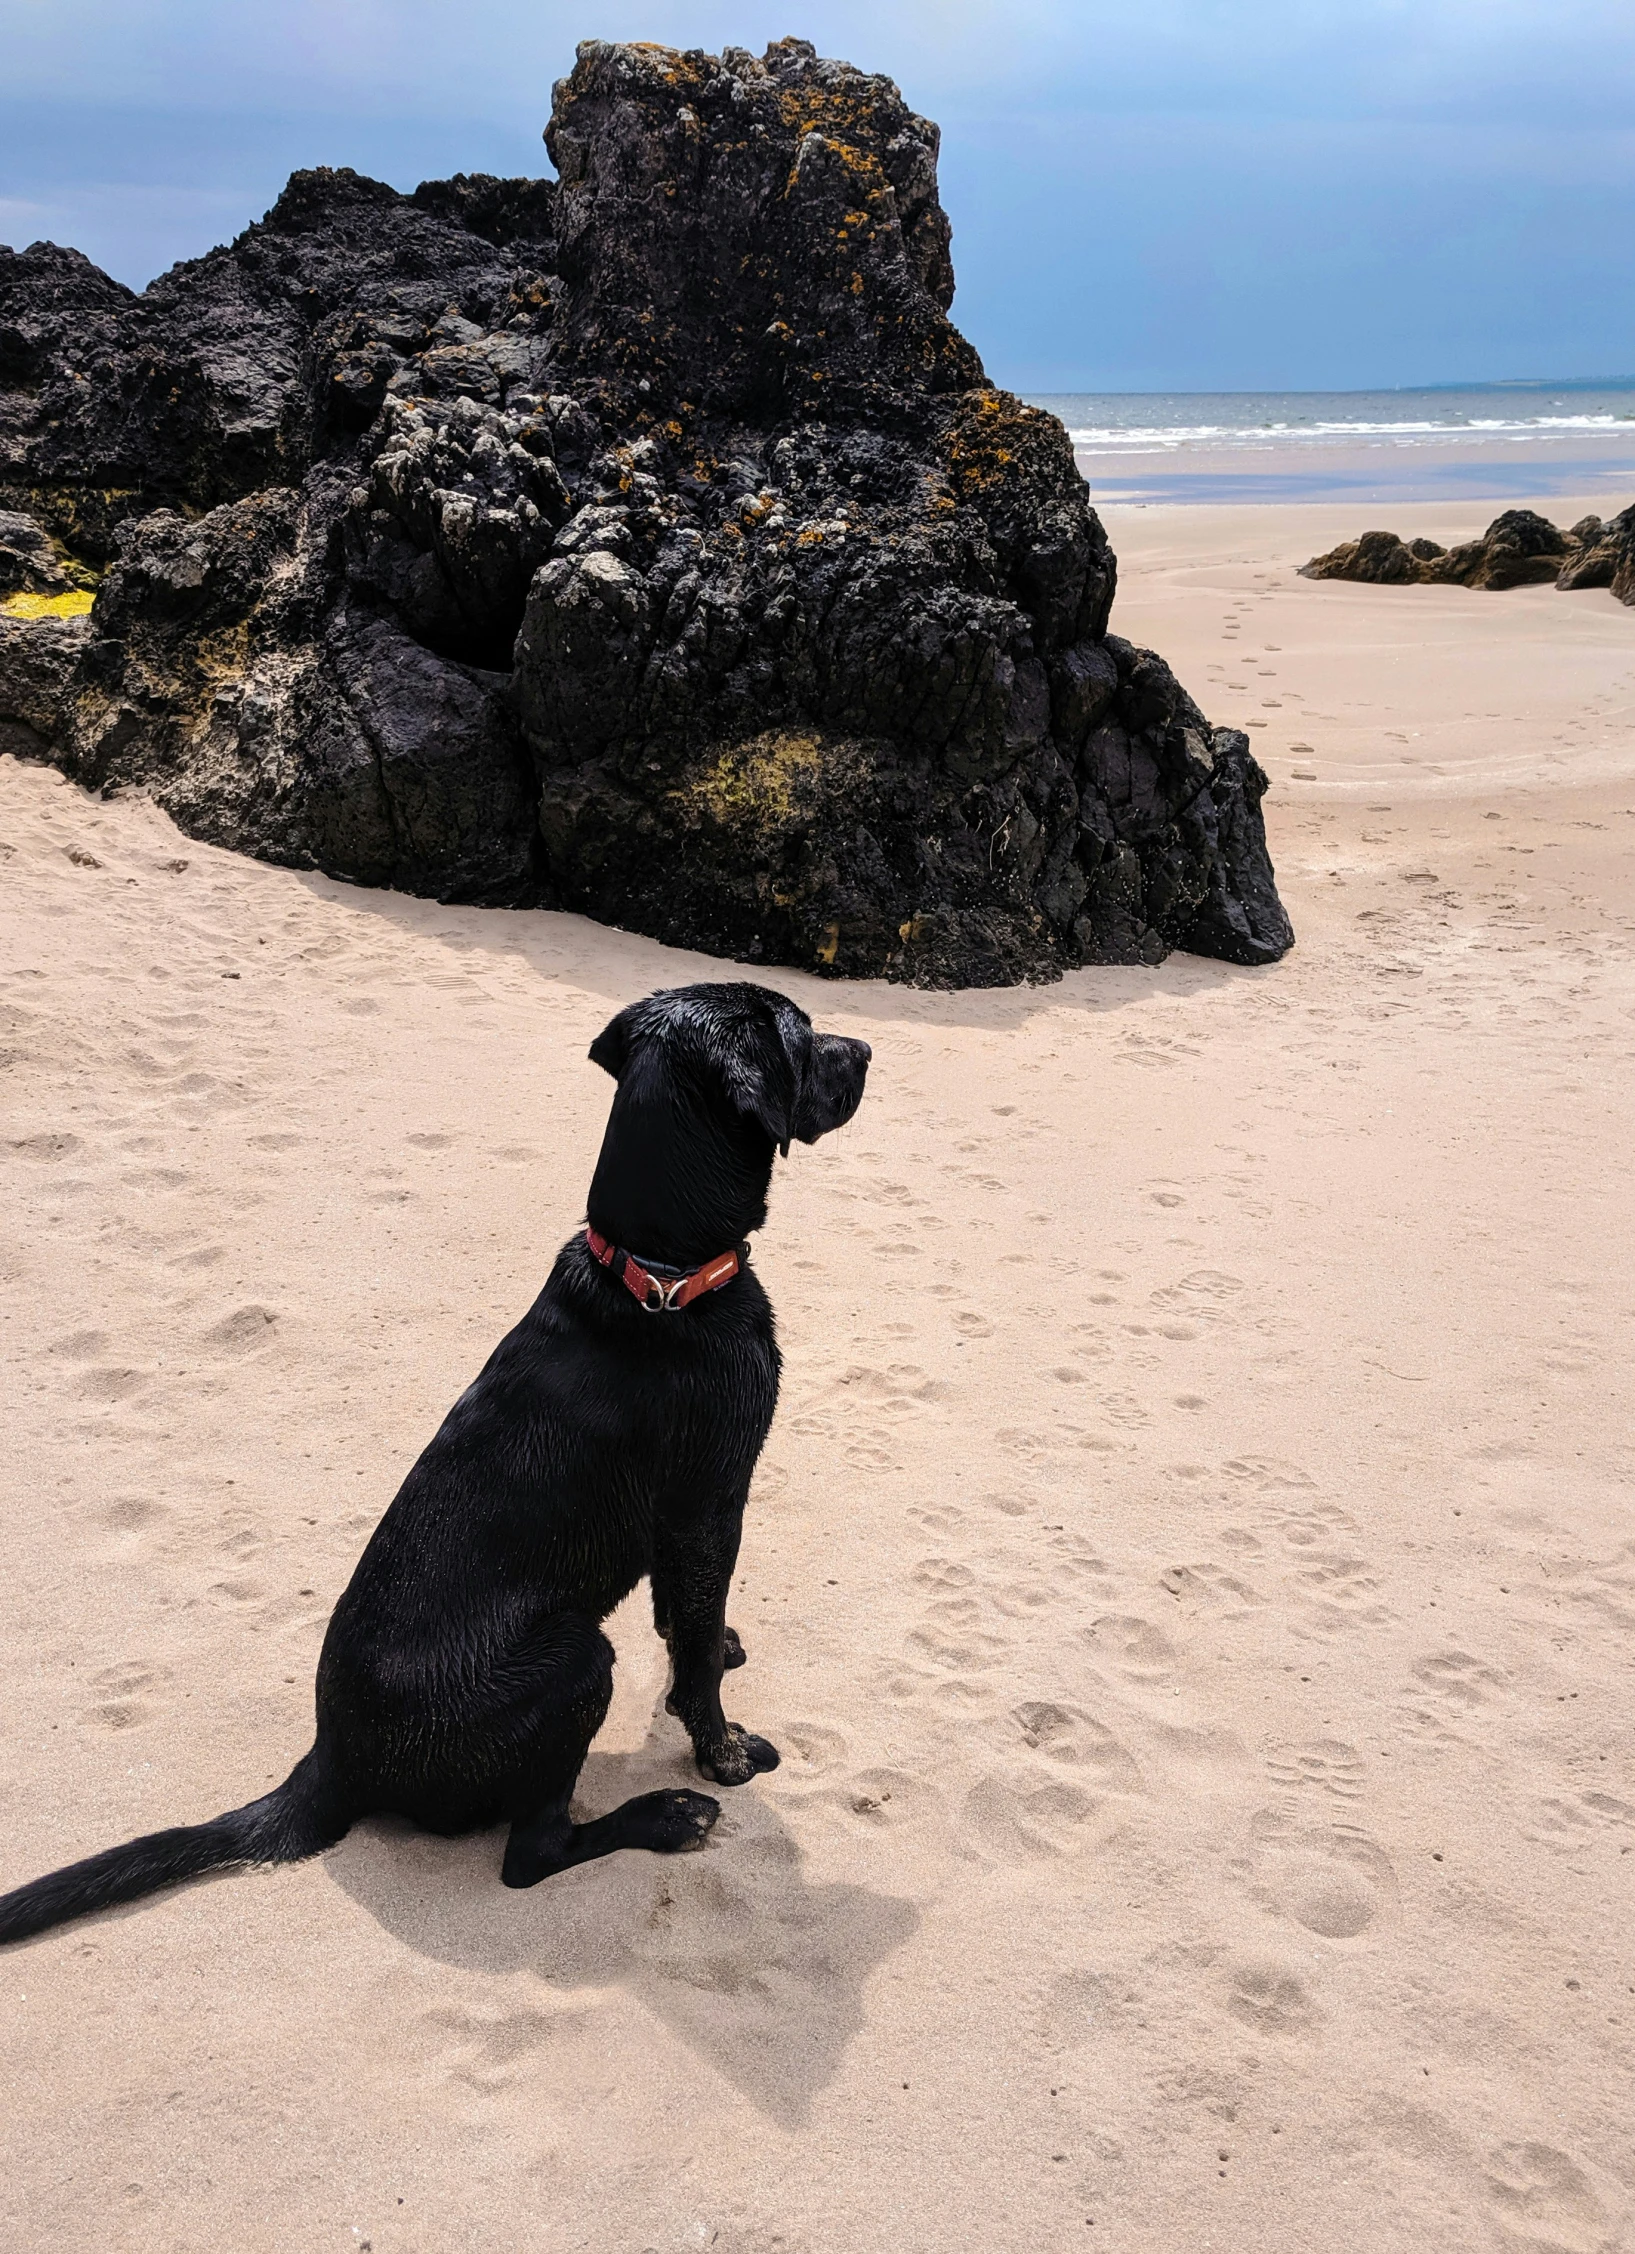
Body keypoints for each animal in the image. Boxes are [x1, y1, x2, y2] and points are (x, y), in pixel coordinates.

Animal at [0, 978, 875, 1947]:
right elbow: (692, 1657)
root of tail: (331, 1764)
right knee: (531, 1855)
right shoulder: (711, 1499)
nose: (870, 1051)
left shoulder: (686, 1525)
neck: (659, 1275)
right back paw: (663, 1817)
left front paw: (718, 1645)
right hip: (572, 1658)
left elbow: (687, 1618)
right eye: (803, 1034)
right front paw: (721, 1750)